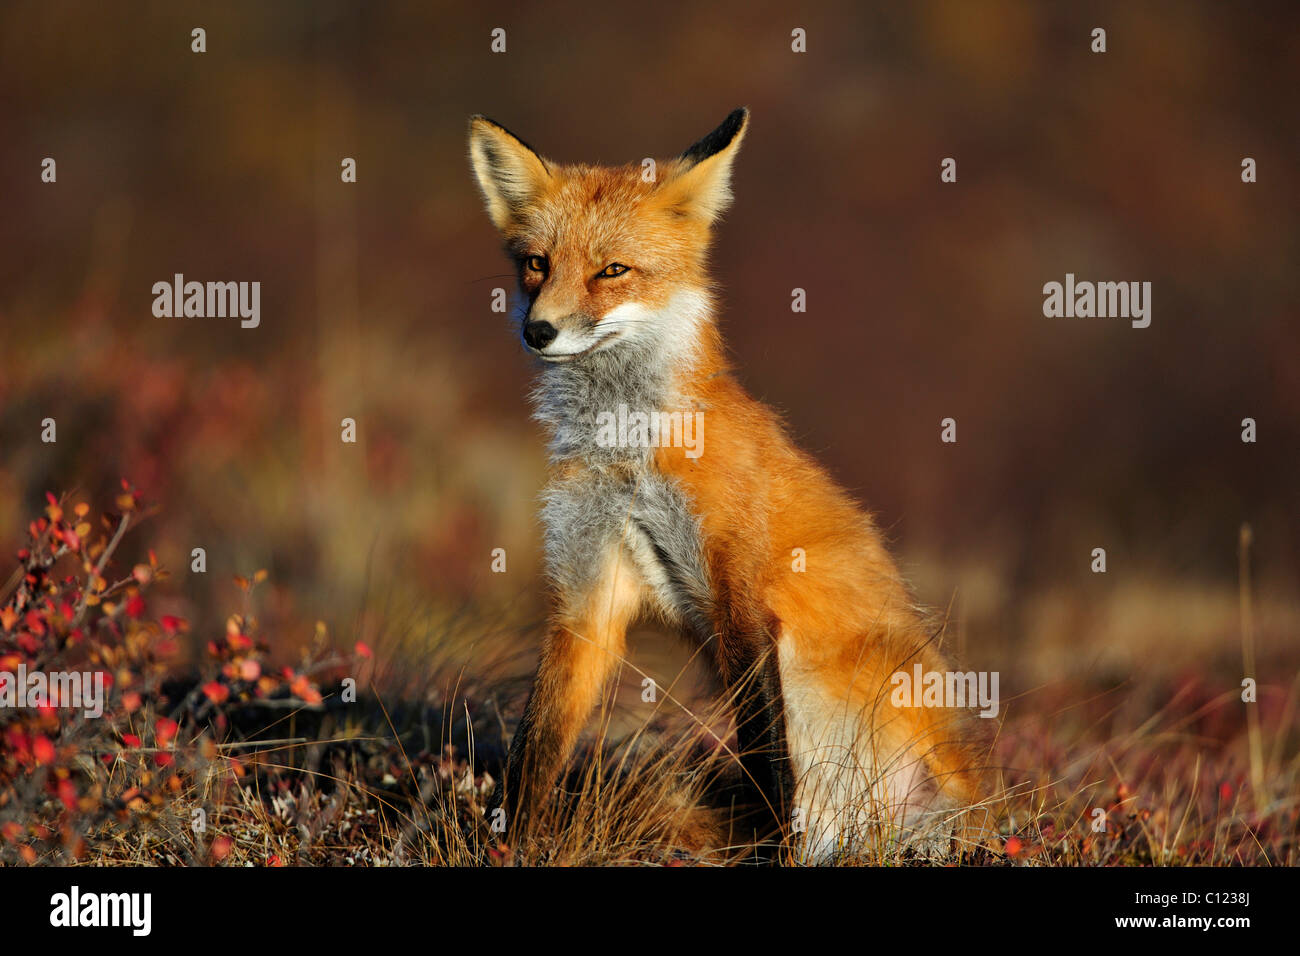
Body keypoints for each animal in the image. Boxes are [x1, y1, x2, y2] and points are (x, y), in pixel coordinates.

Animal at [473, 108, 987, 863]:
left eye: (612, 270)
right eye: (537, 263)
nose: (538, 331)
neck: (628, 457)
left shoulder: (738, 593)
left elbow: (768, 753)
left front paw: (778, 856)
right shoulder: (587, 591)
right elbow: (536, 747)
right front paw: (509, 843)